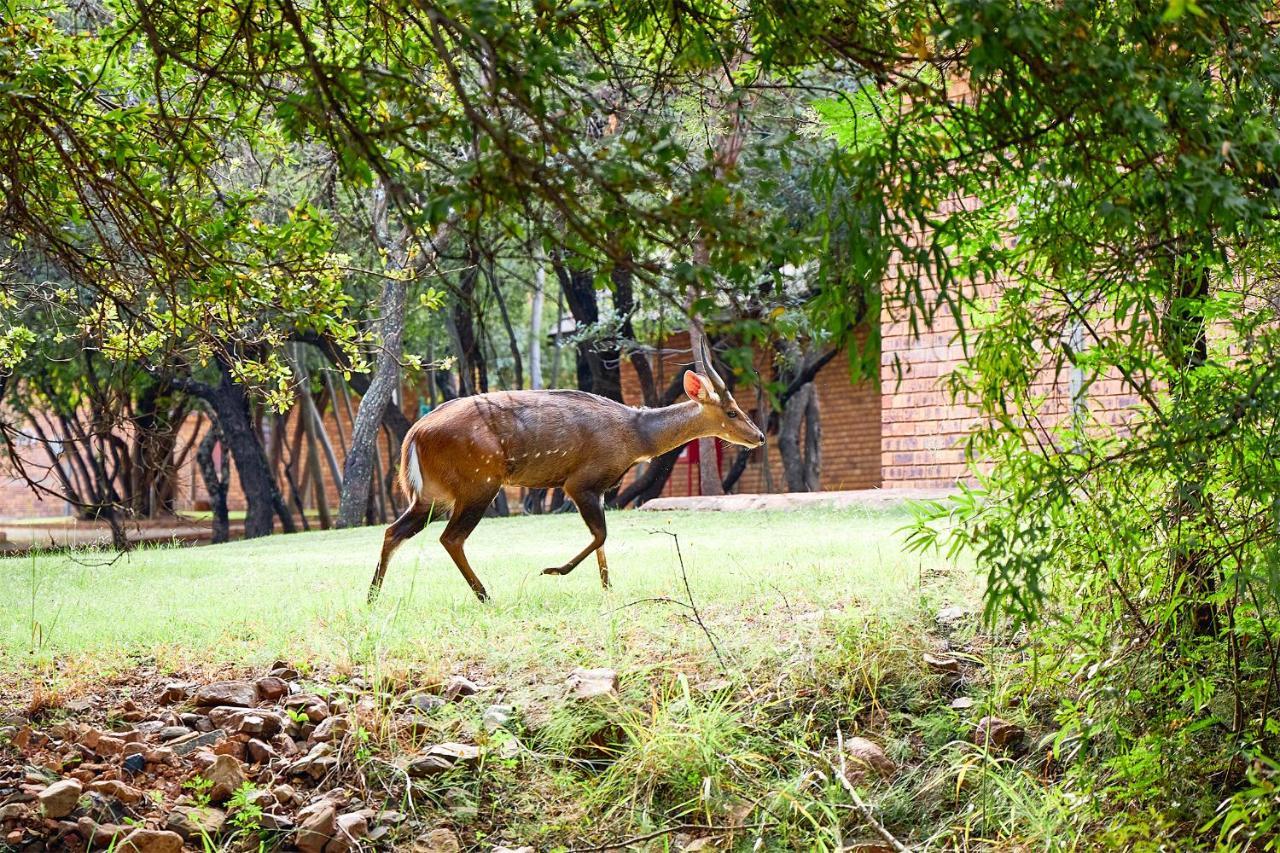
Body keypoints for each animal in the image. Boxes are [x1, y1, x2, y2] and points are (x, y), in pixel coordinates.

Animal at [371, 338, 768, 596]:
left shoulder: (601, 490)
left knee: (393, 531)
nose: (760, 436)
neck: (636, 436)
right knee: (450, 537)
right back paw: (485, 594)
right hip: (479, 484)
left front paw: (608, 587)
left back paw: (373, 597)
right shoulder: (579, 483)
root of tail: (414, 436)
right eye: (732, 411)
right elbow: (600, 535)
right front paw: (553, 570)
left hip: (433, 496)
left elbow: (603, 539)